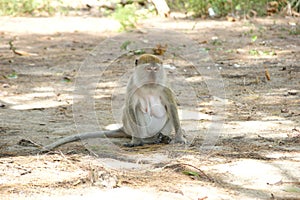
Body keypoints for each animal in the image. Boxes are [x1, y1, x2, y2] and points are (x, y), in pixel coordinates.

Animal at [43, 54, 186, 151]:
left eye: (155, 70)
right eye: (148, 69)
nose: (153, 77)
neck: (149, 86)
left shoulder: (164, 85)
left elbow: (171, 106)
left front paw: (179, 138)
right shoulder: (132, 85)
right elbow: (130, 107)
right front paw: (136, 141)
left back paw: (162, 137)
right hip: (134, 129)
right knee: (135, 110)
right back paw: (147, 140)